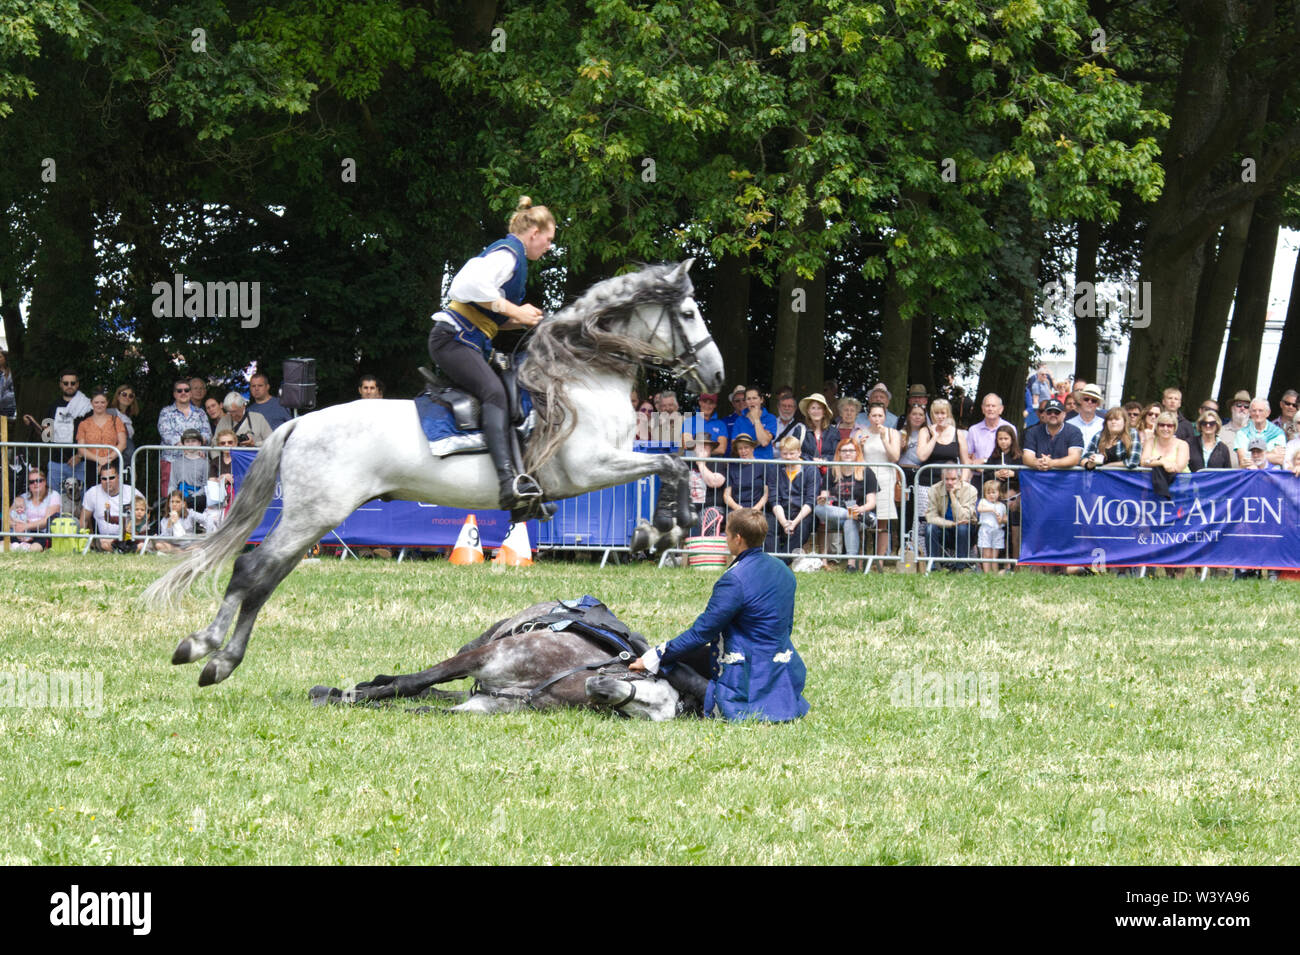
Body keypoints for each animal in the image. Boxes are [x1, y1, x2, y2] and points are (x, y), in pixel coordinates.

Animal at [308, 600, 707, 722]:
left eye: (646, 713)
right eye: (643, 682)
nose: (600, 686)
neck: (559, 677)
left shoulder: (483, 705)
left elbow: (423, 706)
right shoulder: (481, 658)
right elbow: (412, 682)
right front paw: (341, 694)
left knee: (440, 694)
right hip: (477, 644)